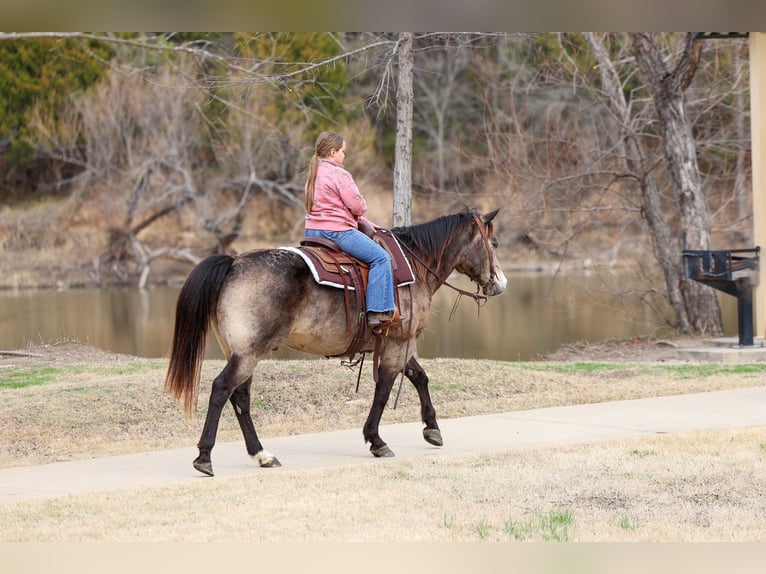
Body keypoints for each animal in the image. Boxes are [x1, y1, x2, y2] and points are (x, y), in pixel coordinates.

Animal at [164, 208, 507, 476]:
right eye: (493, 243)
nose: (501, 284)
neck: (416, 265)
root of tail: (234, 263)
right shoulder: (400, 341)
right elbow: (384, 390)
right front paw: (376, 440)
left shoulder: (399, 342)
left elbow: (419, 377)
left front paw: (432, 428)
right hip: (248, 353)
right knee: (222, 390)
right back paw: (204, 457)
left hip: (242, 353)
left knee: (241, 398)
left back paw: (262, 455)